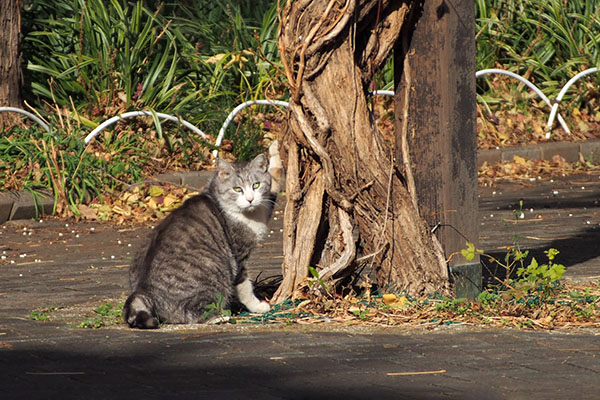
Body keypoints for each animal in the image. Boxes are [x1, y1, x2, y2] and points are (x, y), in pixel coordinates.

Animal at [123, 145, 282, 330]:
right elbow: (245, 287)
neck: (250, 214)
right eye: (237, 189)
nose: (250, 199)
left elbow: (275, 179)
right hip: (213, 270)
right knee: (190, 314)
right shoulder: (238, 256)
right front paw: (258, 307)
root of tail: (142, 291)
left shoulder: (266, 205)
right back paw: (219, 317)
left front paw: (275, 149)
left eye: (256, 185)